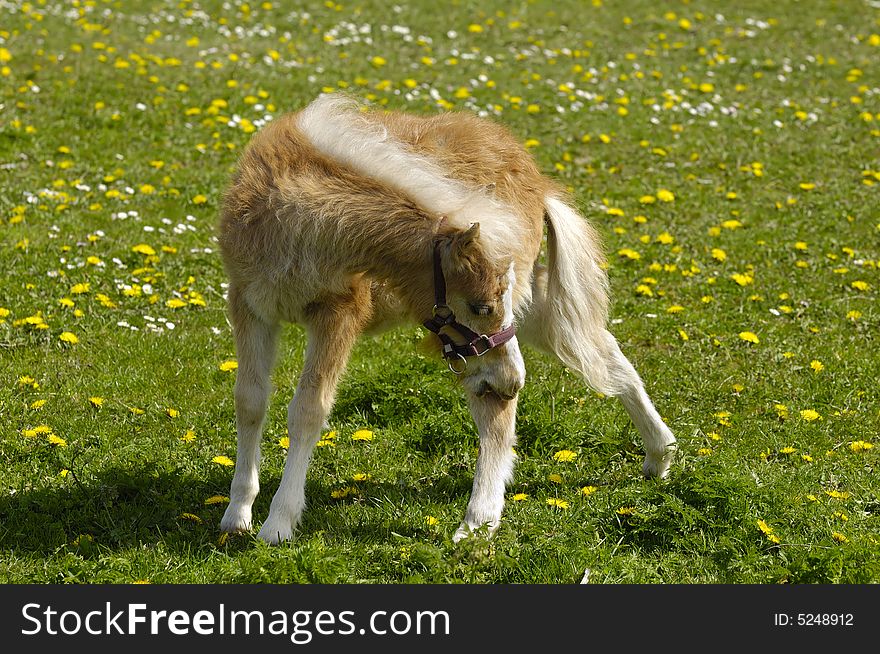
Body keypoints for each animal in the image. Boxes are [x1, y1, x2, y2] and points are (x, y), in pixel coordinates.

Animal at [218, 92, 672, 544]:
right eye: (480, 307)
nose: (513, 382)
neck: (294, 221)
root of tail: (536, 177)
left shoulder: (339, 312)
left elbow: (309, 409)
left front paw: (278, 523)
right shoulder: (249, 305)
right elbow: (249, 400)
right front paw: (237, 513)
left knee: (502, 411)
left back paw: (477, 522)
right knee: (597, 345)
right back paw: (660, 453)